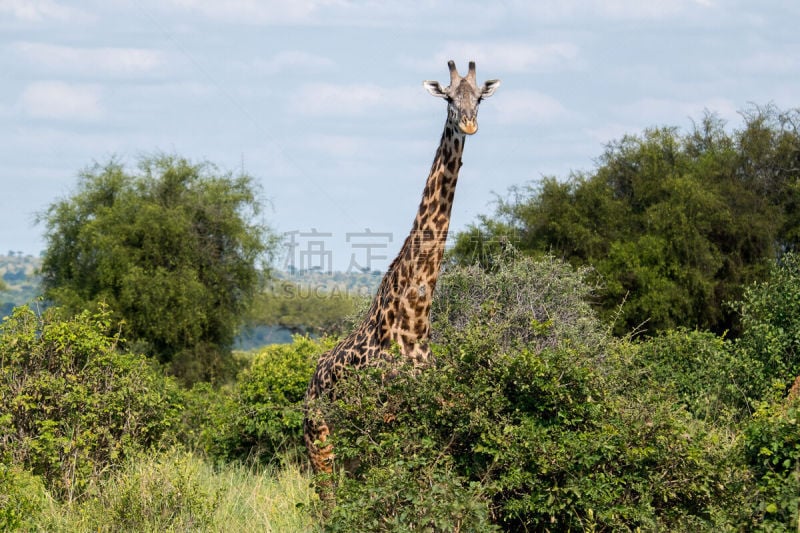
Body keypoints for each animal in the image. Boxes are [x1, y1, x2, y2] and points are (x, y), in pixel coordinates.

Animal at [304, 59, 496, 482]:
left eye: (478, 98)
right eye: (448, 98)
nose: (469, 124)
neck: (414, 320)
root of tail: (309, 386)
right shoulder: (386, 421)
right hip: (320, 442)